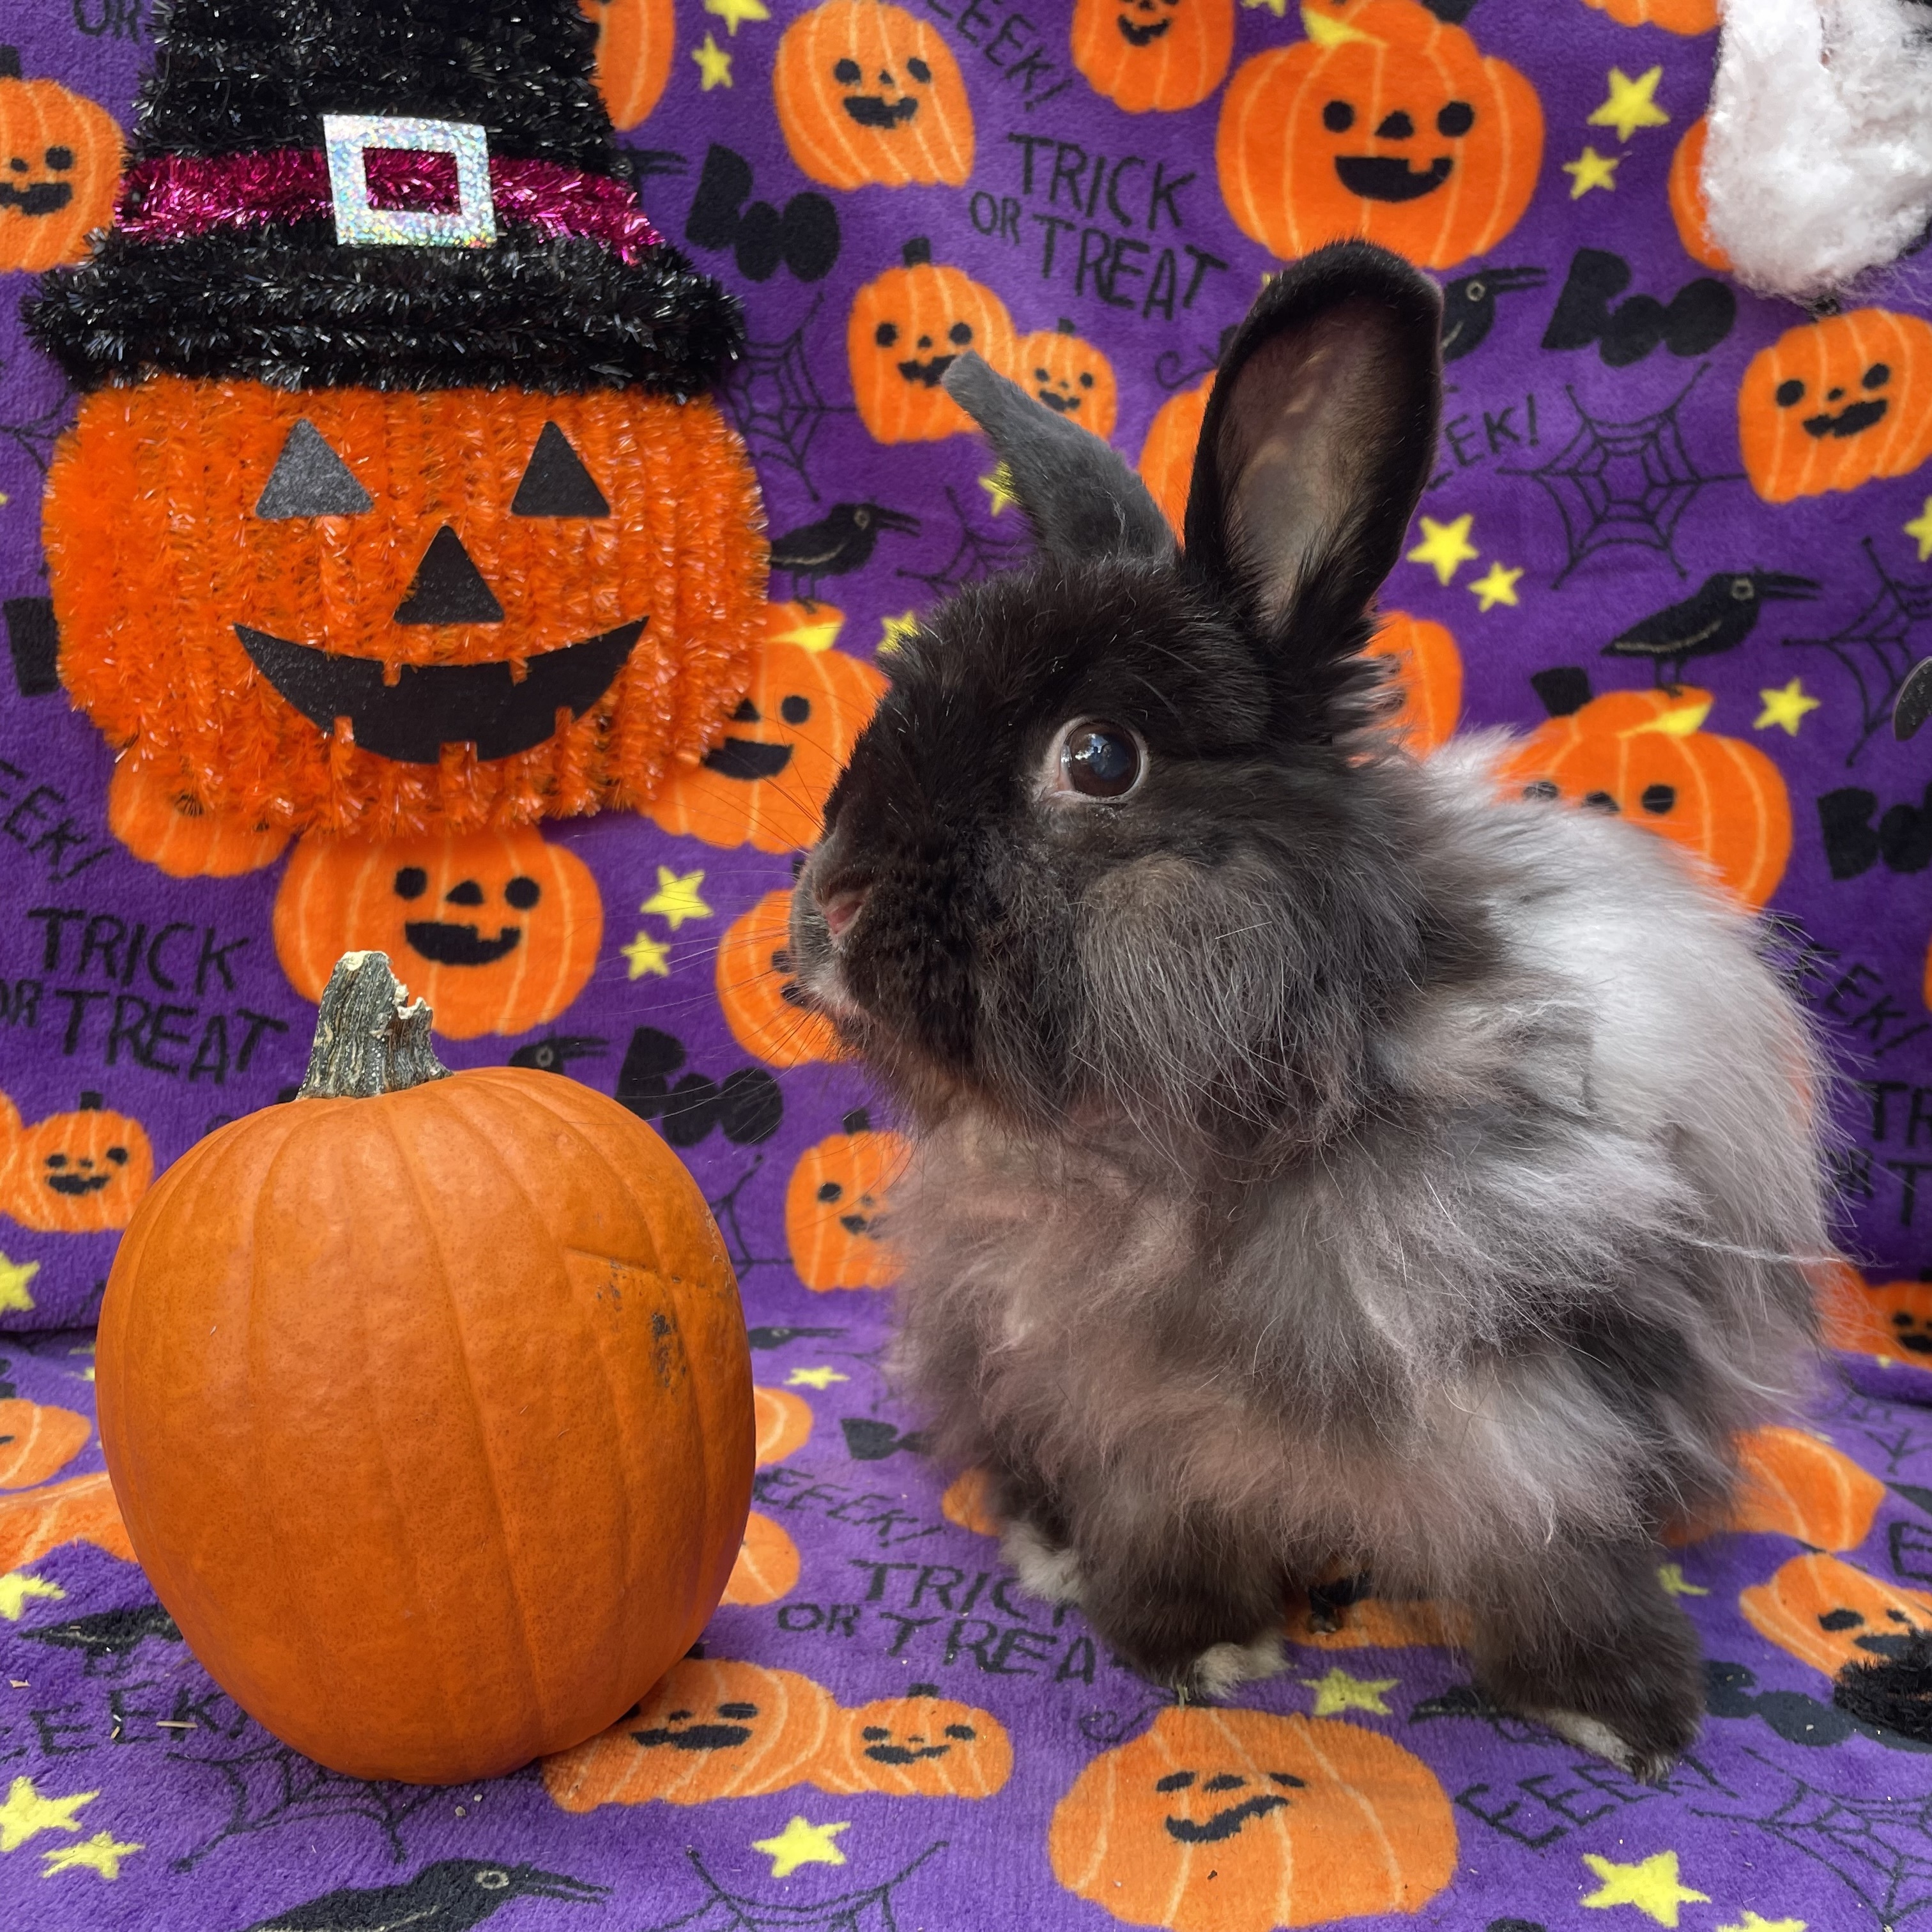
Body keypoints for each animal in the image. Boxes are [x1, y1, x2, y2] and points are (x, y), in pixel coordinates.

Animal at [787, 240, 1834, 1783]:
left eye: (1096, 759)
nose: (830, 908)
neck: (1226, 1129)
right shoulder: (1123, 1419)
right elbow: (1161, 1528)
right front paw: (1196, 1646)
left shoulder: (1543, 1415)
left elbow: (1558, 1558)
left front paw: (1625, 1713)